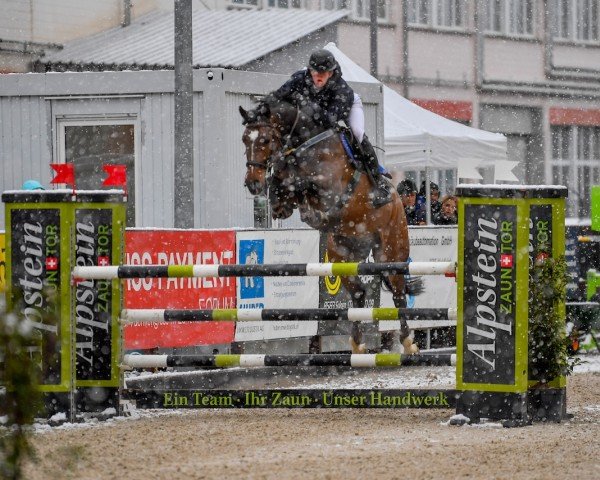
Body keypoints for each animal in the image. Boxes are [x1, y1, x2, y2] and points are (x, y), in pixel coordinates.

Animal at [238, 95, 418, 354]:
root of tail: (399, 204)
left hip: (390, 251)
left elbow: (303, 183)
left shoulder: (330, 188)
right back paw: (358, 344)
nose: (252, 183)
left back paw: (407, 342)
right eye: (245, 139)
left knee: (398, 293)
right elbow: (284, 182)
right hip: (339, 254)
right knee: (359, 292)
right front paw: (281, 200)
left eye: (265, 139)